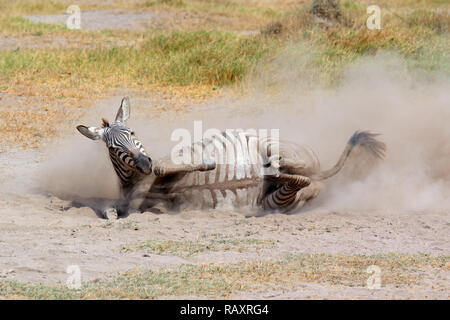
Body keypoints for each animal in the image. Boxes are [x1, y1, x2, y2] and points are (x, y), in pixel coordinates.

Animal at [75, 97, 384, 218]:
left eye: (132, 132)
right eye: (113, 148)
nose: (142, 163)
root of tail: (320, 173)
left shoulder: (171, 159)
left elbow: (164, 165)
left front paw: (208, 163)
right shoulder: (140, 202)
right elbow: (112, 211)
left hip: (273, 145)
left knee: (291, 167)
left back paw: (271, 167)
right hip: (278, 200)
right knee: (301, 183)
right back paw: (272, 179)